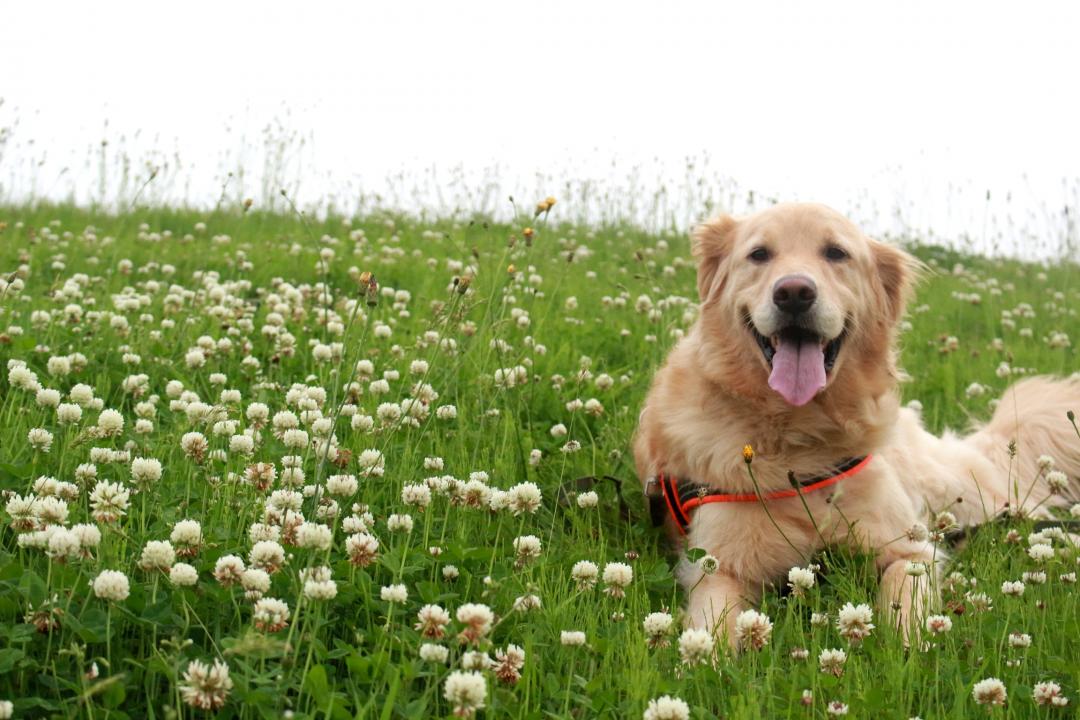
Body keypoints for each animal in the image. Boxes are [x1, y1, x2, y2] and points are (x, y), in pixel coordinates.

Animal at [630, 202, 1080, 647]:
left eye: (836, 253)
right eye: (759, 254)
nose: (794, 293)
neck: (799, 440)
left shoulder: (910, 550)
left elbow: (904, 605)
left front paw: (906, 650)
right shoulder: (718, 566)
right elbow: (712, 633)